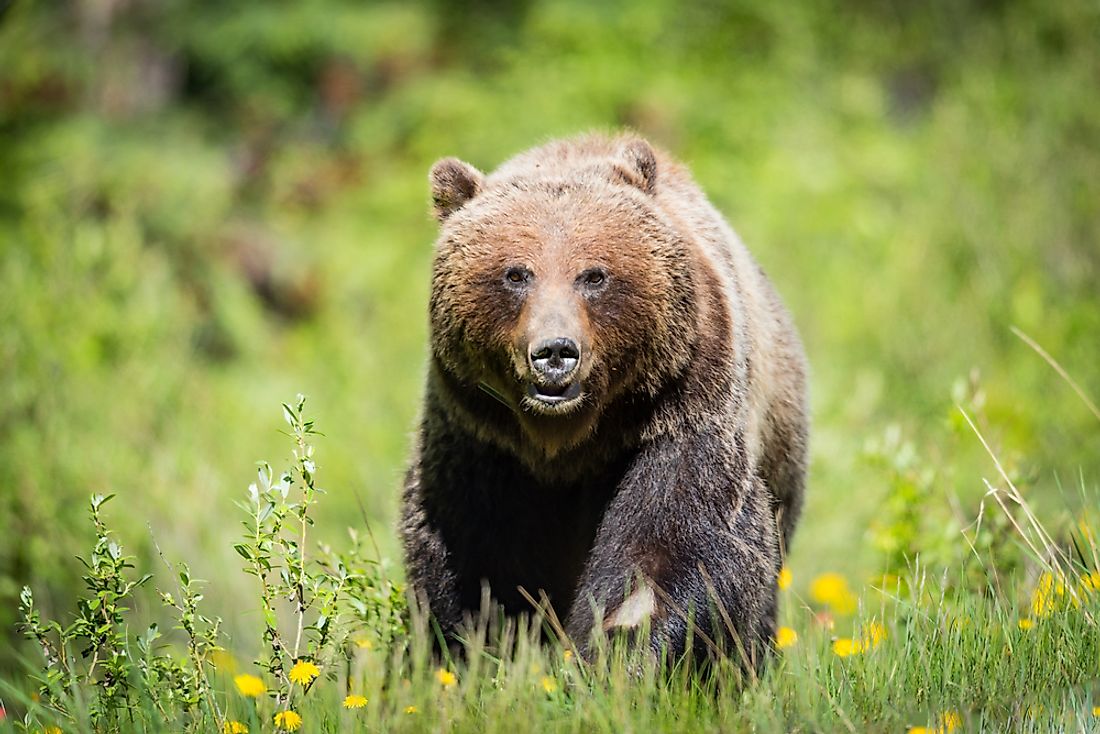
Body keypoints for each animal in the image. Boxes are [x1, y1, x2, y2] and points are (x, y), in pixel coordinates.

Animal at [402, 133, 809, 673]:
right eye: (516, 274)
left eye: (593, 275)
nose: (555, 352)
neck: (566, 441)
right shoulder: (481, 437)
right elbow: (472, 558)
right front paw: (475, 652)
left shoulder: (680, 413)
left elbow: (675, 548)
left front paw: (622, 653)